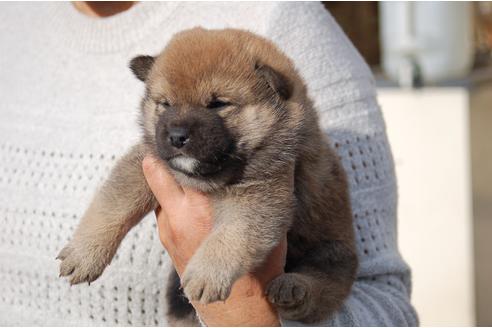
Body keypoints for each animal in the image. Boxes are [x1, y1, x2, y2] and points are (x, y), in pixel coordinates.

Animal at [57, 27, 358, 322]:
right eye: (165, 104)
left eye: (218, 104)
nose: (176, 136)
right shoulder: (144, 164)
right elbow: (112, 206)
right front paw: (84, 254)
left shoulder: (261, 194)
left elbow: (230, 236)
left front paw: (206, 275)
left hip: (331, 251)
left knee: (324, 287)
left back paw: (294, 289)